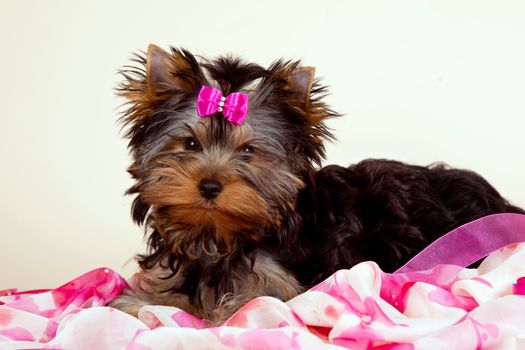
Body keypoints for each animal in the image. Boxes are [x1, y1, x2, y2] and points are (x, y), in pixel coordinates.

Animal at [109, 44, 520, 322]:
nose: (209, 186)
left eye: (249, 152)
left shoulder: (285, 284)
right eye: (190, 144)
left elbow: (245, 302)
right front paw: (137, 302)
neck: (221, 236)